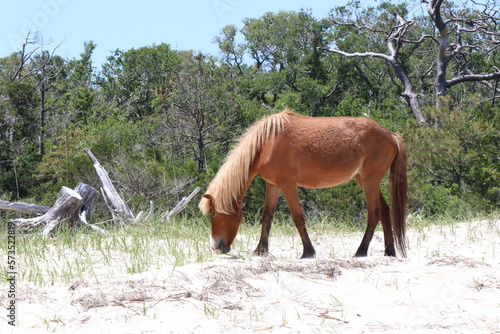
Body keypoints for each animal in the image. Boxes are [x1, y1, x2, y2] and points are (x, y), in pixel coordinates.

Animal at [198, 109, 406, 258]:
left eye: (214, 213)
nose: (216, 247)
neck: (266, 143)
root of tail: (390, 134)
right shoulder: (272, 185)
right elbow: (267, 217)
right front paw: (261, 250)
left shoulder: (288, 185)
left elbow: (298, 218)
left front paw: (308, 252)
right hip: (364, 179)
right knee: (385, 211)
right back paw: (389, 251)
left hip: (370, 181)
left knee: (374, 214)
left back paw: (361, 251)